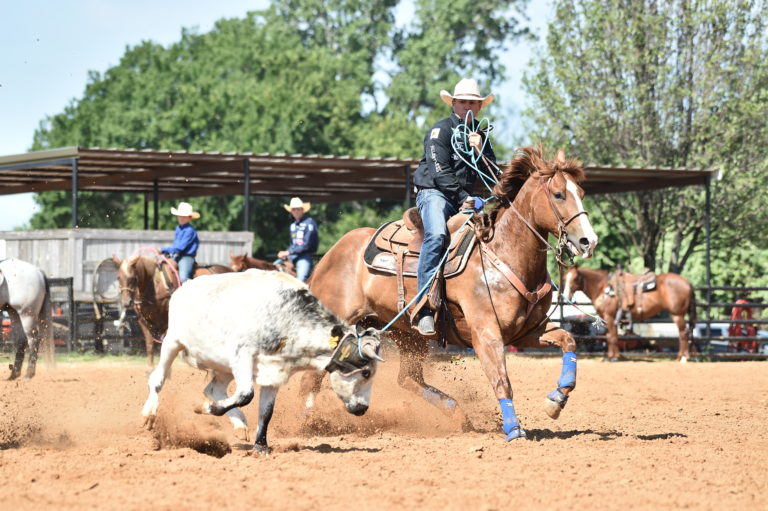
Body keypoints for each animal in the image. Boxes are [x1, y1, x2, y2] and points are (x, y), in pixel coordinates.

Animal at [304, 146, 596, 442]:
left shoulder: (528, 331)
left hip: (406, 334)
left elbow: (569, 341)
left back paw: (456, 412)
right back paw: (307, 422)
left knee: (408, 379)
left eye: (582, 193)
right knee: (313, 374)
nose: (589, 241)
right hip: (337, 325)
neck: (503, 255)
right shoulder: (486, 335)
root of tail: (331, 253)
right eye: (558, 194)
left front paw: (556, 400)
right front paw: (514, 429)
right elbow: (502, 381)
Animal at [560, 266, 700, 362]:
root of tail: (687, 283)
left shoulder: (609, 317)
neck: (603, 289)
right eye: (564, 278)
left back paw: (682, 358)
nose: (565, 296)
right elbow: (611, 336)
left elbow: (612, 337)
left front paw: (613, 358)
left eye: (575, 278)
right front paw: (611, 356)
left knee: (683, 334)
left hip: (678, 315)